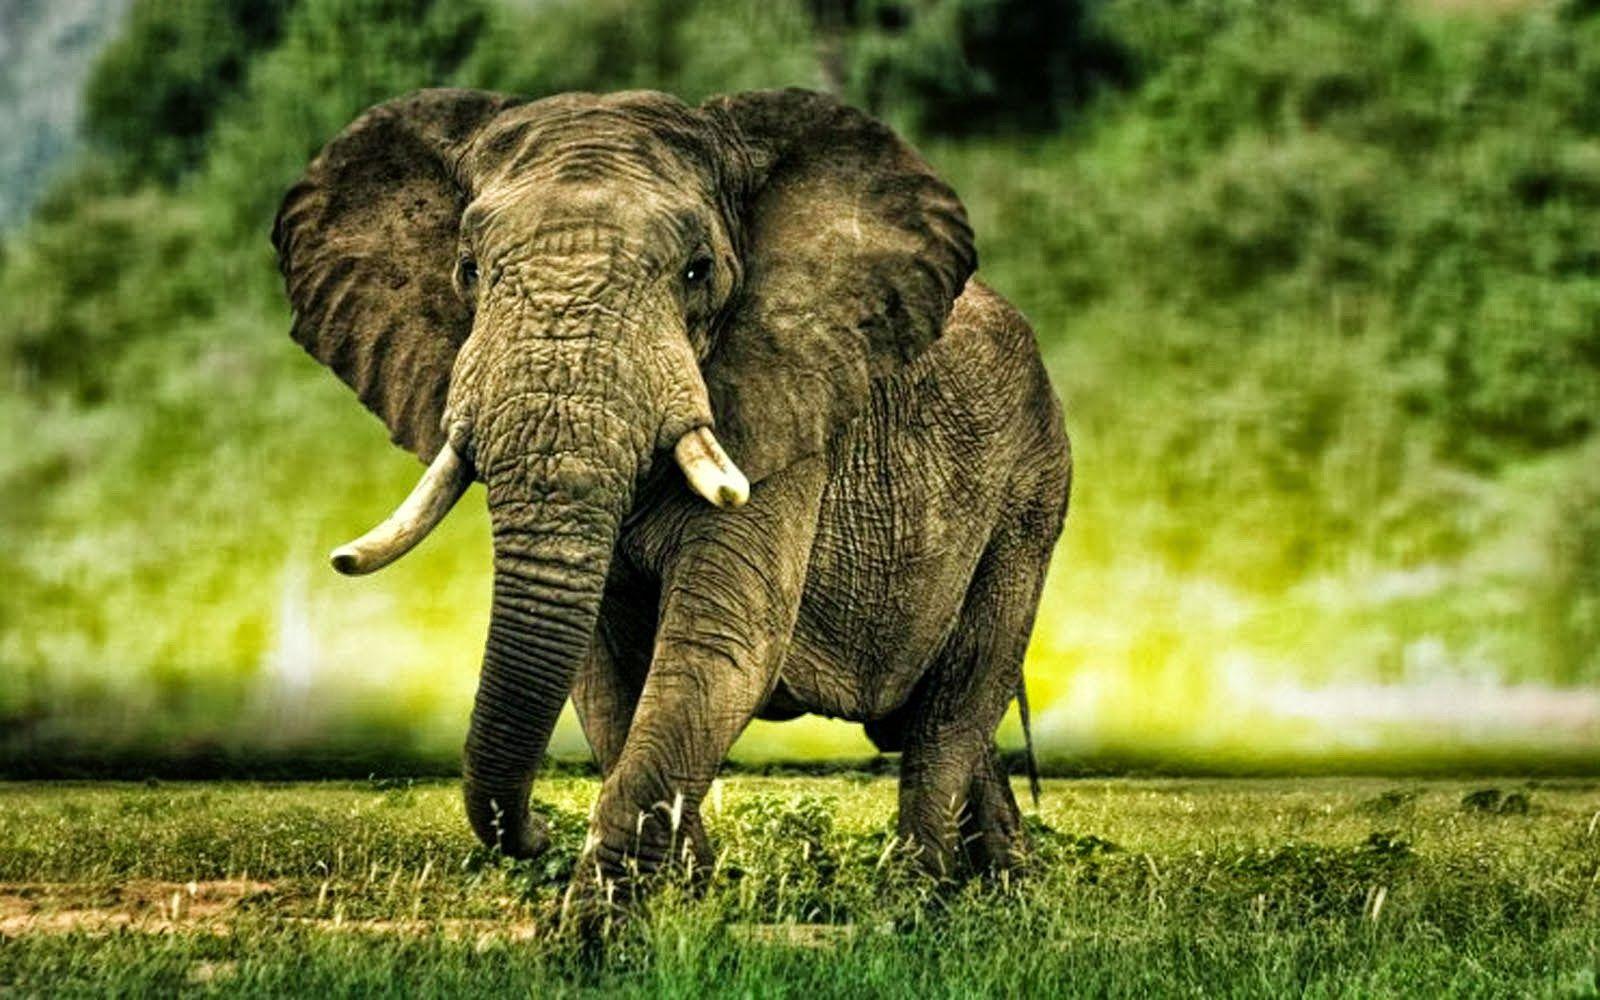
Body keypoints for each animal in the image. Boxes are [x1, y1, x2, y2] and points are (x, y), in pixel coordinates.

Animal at [272, 86, 1071, 904]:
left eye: (697, 273)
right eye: (467, 269)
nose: (535, 833)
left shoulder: (784, 412)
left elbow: (718, 647)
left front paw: (597, 926)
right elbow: (605, 675)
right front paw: (686, 896)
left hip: (1030, 496)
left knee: (955, 704)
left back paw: (914, 901)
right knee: (931, 720)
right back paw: (1004, 888)